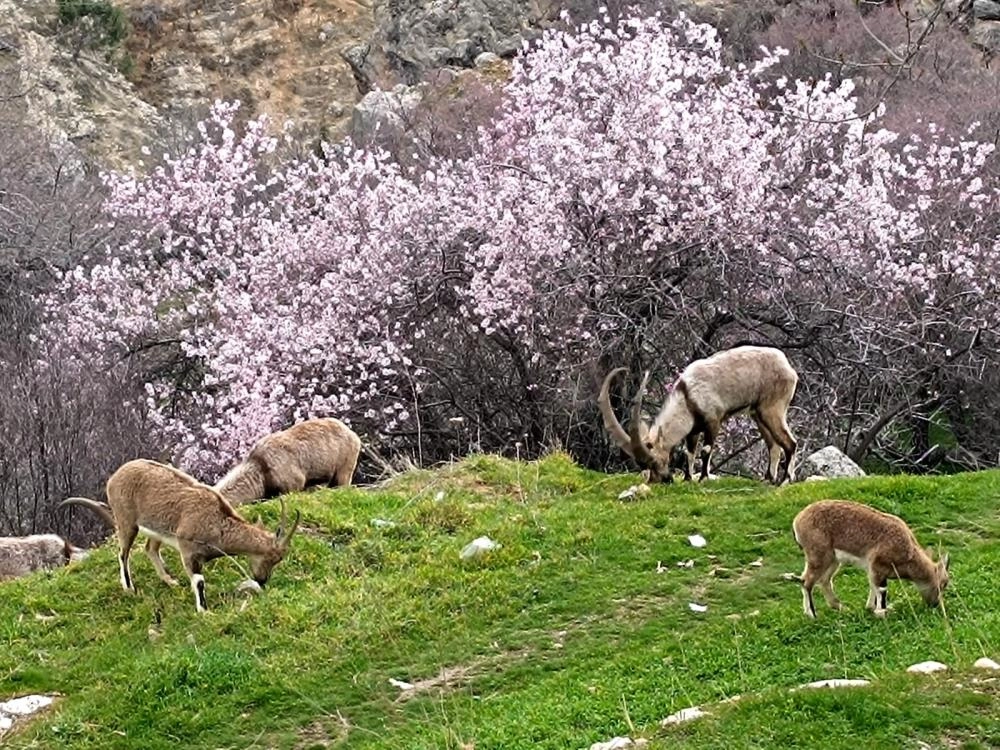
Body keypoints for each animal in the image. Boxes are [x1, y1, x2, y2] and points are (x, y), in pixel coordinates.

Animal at [59, 462, 298, 612]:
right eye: (272, 558)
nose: (262, 580)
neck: (217, 522)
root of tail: (115, 476)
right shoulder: (188, 550)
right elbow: (199, 581)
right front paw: (204, 610)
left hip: (158, 529)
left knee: (150, 548)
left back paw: (169, 580)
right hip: (126, 522)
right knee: (123, 553)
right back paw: (129, 588)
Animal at [596, 348, 800, 488]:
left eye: (655, 461)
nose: (664, 480)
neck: (688, 396)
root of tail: (788, 368)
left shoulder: (713, 421)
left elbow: (706, 450)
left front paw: (703, 478)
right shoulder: (693, 430)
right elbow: (690, 452)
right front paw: (687, 479)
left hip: (772, 409)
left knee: (790, 443)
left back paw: (785, 481)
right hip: (758, 414)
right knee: (774, 445)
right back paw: (768, 479)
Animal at [792, 502, 948, 620]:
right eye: (943, 584)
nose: (935, 604)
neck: (908, 552)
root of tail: (798, 521)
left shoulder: (873, 570)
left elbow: (873, 586)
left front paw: (871, 607)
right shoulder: (878, 566)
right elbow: (881, 589)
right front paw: (881, 612)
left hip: (833, 560)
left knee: (824, 581)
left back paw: (841, 607)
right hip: (818, 555)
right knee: (807, 581)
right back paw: (812, 614)